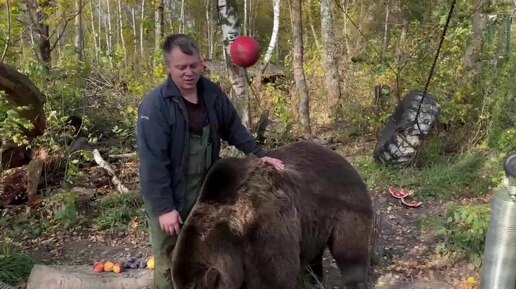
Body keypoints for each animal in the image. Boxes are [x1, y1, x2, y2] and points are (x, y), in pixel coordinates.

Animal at [171, 140, 372, 288]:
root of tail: (340, 156)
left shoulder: (265, 231)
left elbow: (275, 275)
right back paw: (314, 278)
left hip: (346, 207)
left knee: (350, 251)